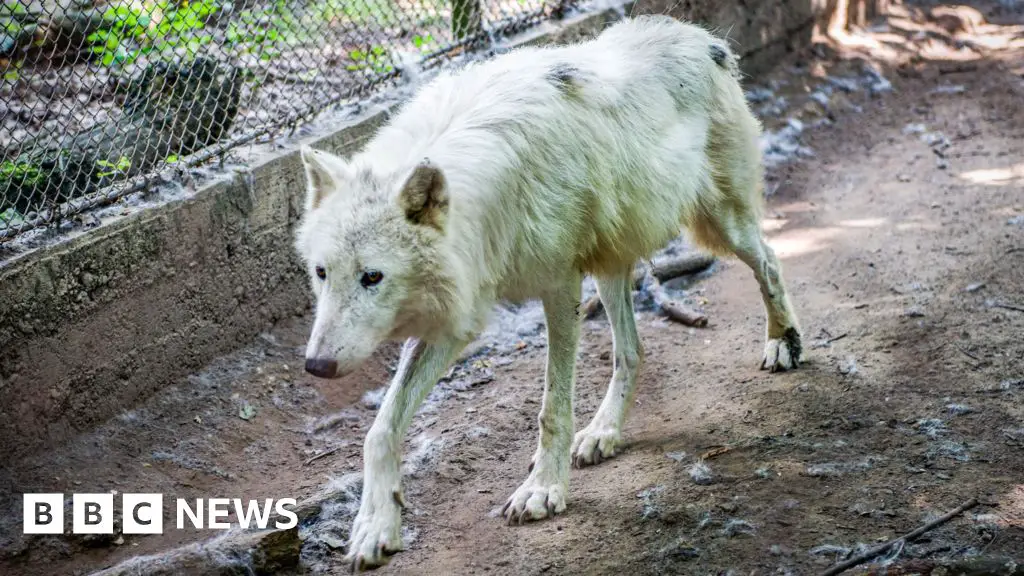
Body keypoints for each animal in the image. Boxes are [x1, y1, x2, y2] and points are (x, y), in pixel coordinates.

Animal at [294, 14, 798, 569]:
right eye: (322, 273)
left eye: (372, 277)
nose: (316, 365)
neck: (487, 199)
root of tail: (700, 38)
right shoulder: (461, 310)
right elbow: (380, 429)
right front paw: (375, 525)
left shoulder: (558, 284)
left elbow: (551, 408)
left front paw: (542, 490)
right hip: (610, 264)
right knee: (632, 350)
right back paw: (603, 433)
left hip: (720, 227)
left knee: (770, 260)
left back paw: (783, 342)